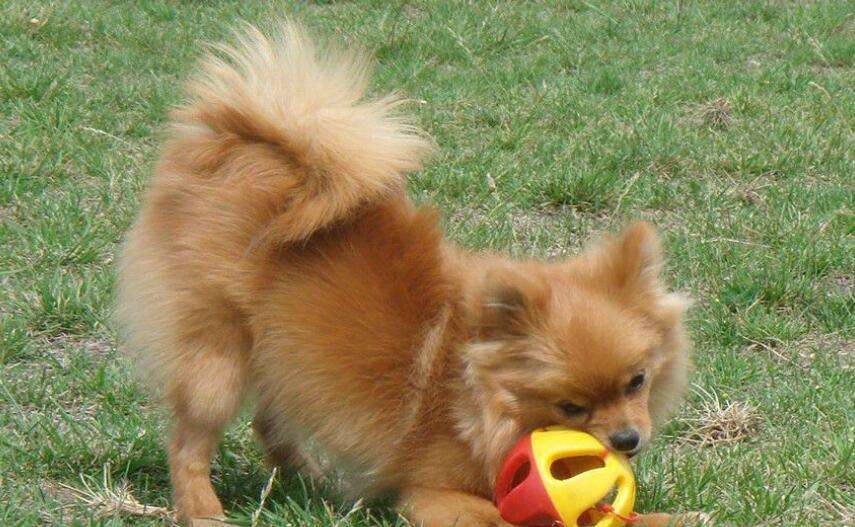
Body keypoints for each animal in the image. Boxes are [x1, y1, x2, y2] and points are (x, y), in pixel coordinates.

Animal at [117, 21, 700, 527]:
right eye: (571, 407)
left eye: (637, 381)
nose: (627, 440)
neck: (480, 396)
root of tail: (240, 139)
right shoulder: (432, 493)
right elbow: (497, 515)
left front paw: (674, 517)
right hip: (217, 357)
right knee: (189, 441)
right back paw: (203, 509)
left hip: (283, 357)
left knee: (271, 420)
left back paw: (313, 485)